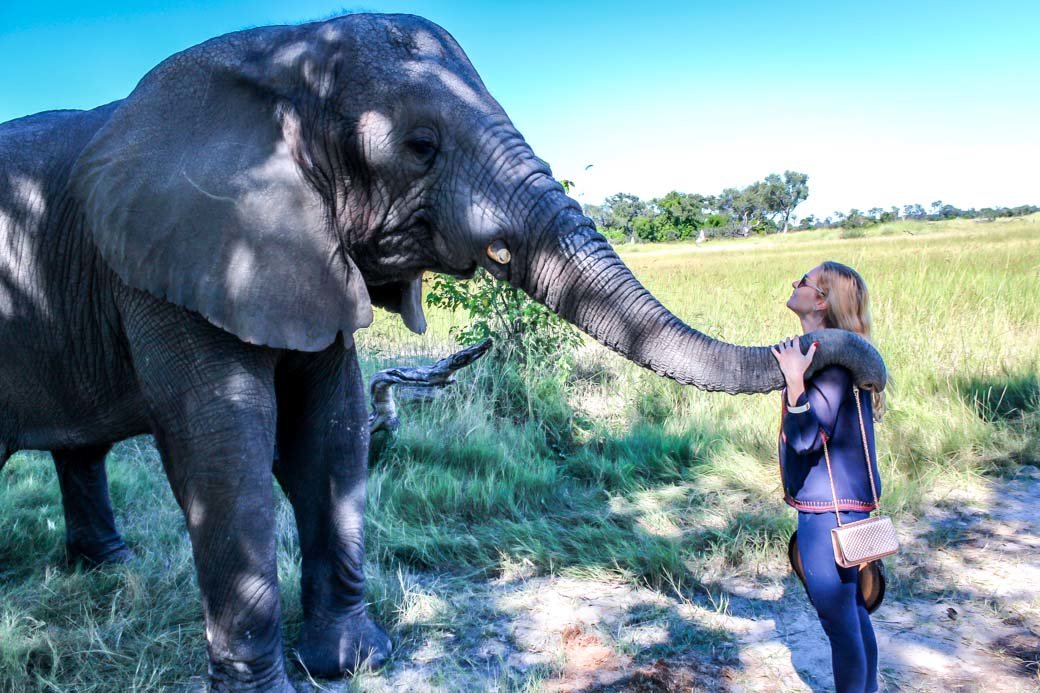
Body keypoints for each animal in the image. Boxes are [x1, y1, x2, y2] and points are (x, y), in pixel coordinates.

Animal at [2, 12, 886, 690]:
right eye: (420, 145)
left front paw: (355, 661)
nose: (843, 358)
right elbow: (226, 456)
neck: (278, 57)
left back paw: (107, 569)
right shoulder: (167, 260)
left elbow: (333, 433)